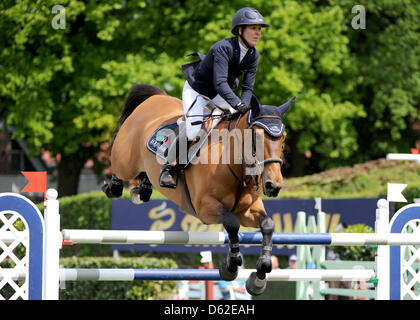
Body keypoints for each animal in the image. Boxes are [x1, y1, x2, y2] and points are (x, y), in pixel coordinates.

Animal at [104, 84, 296, 296]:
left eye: (283, 138)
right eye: (257, 137)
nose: (273, 185)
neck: (233, 164)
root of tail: (156, 98)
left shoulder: (247, 210)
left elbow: (268, 225)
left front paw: (260, 275)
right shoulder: (205, 208)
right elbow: (232, 223)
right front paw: (230, 265)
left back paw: (144, 189)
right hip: (126, 160)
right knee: (117, 154)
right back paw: (113, 186)